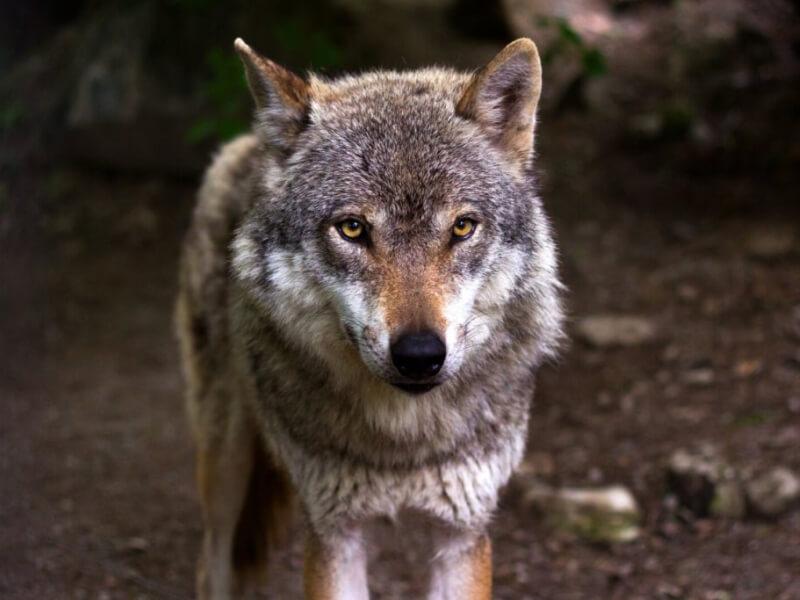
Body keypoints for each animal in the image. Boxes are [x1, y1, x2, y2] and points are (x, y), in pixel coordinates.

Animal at [176, 36, 564, 599]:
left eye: (462, 227)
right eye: (353, 229)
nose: (420, 355)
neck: (403, 442)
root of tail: (250, 143)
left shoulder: (463, 533)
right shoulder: (335, 534)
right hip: (225, 463)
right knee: (211, 562)